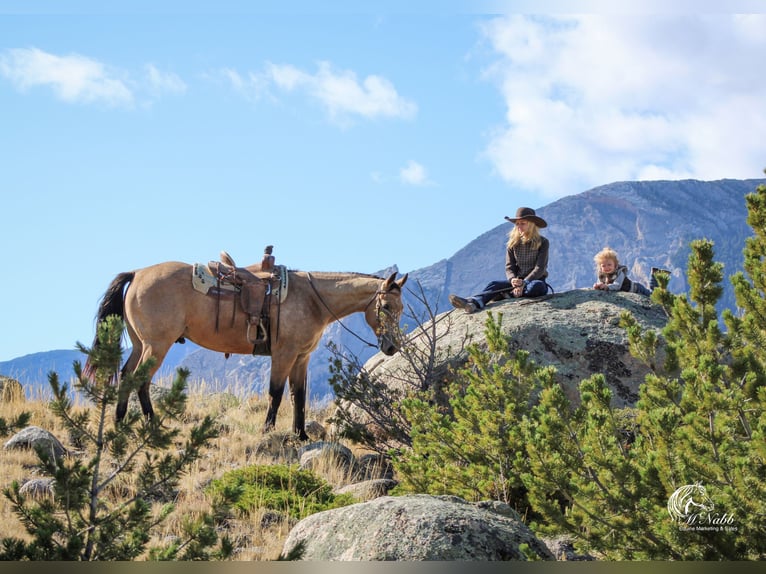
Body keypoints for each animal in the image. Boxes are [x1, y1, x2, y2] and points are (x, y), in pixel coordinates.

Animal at [85, 258, 408, 444]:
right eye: (386, 306)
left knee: (129, 376)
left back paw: (122, 421)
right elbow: (276, 393)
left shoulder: (301, 357)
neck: (312, 300)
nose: (392, 346)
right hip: (156, 345)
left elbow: (299, 396)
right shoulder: (284, 354)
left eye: (401, 308)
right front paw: (268, 431)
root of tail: (137, 273)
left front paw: (301, 435)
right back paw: (149, 425)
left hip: (142, 344)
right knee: (140, 379)